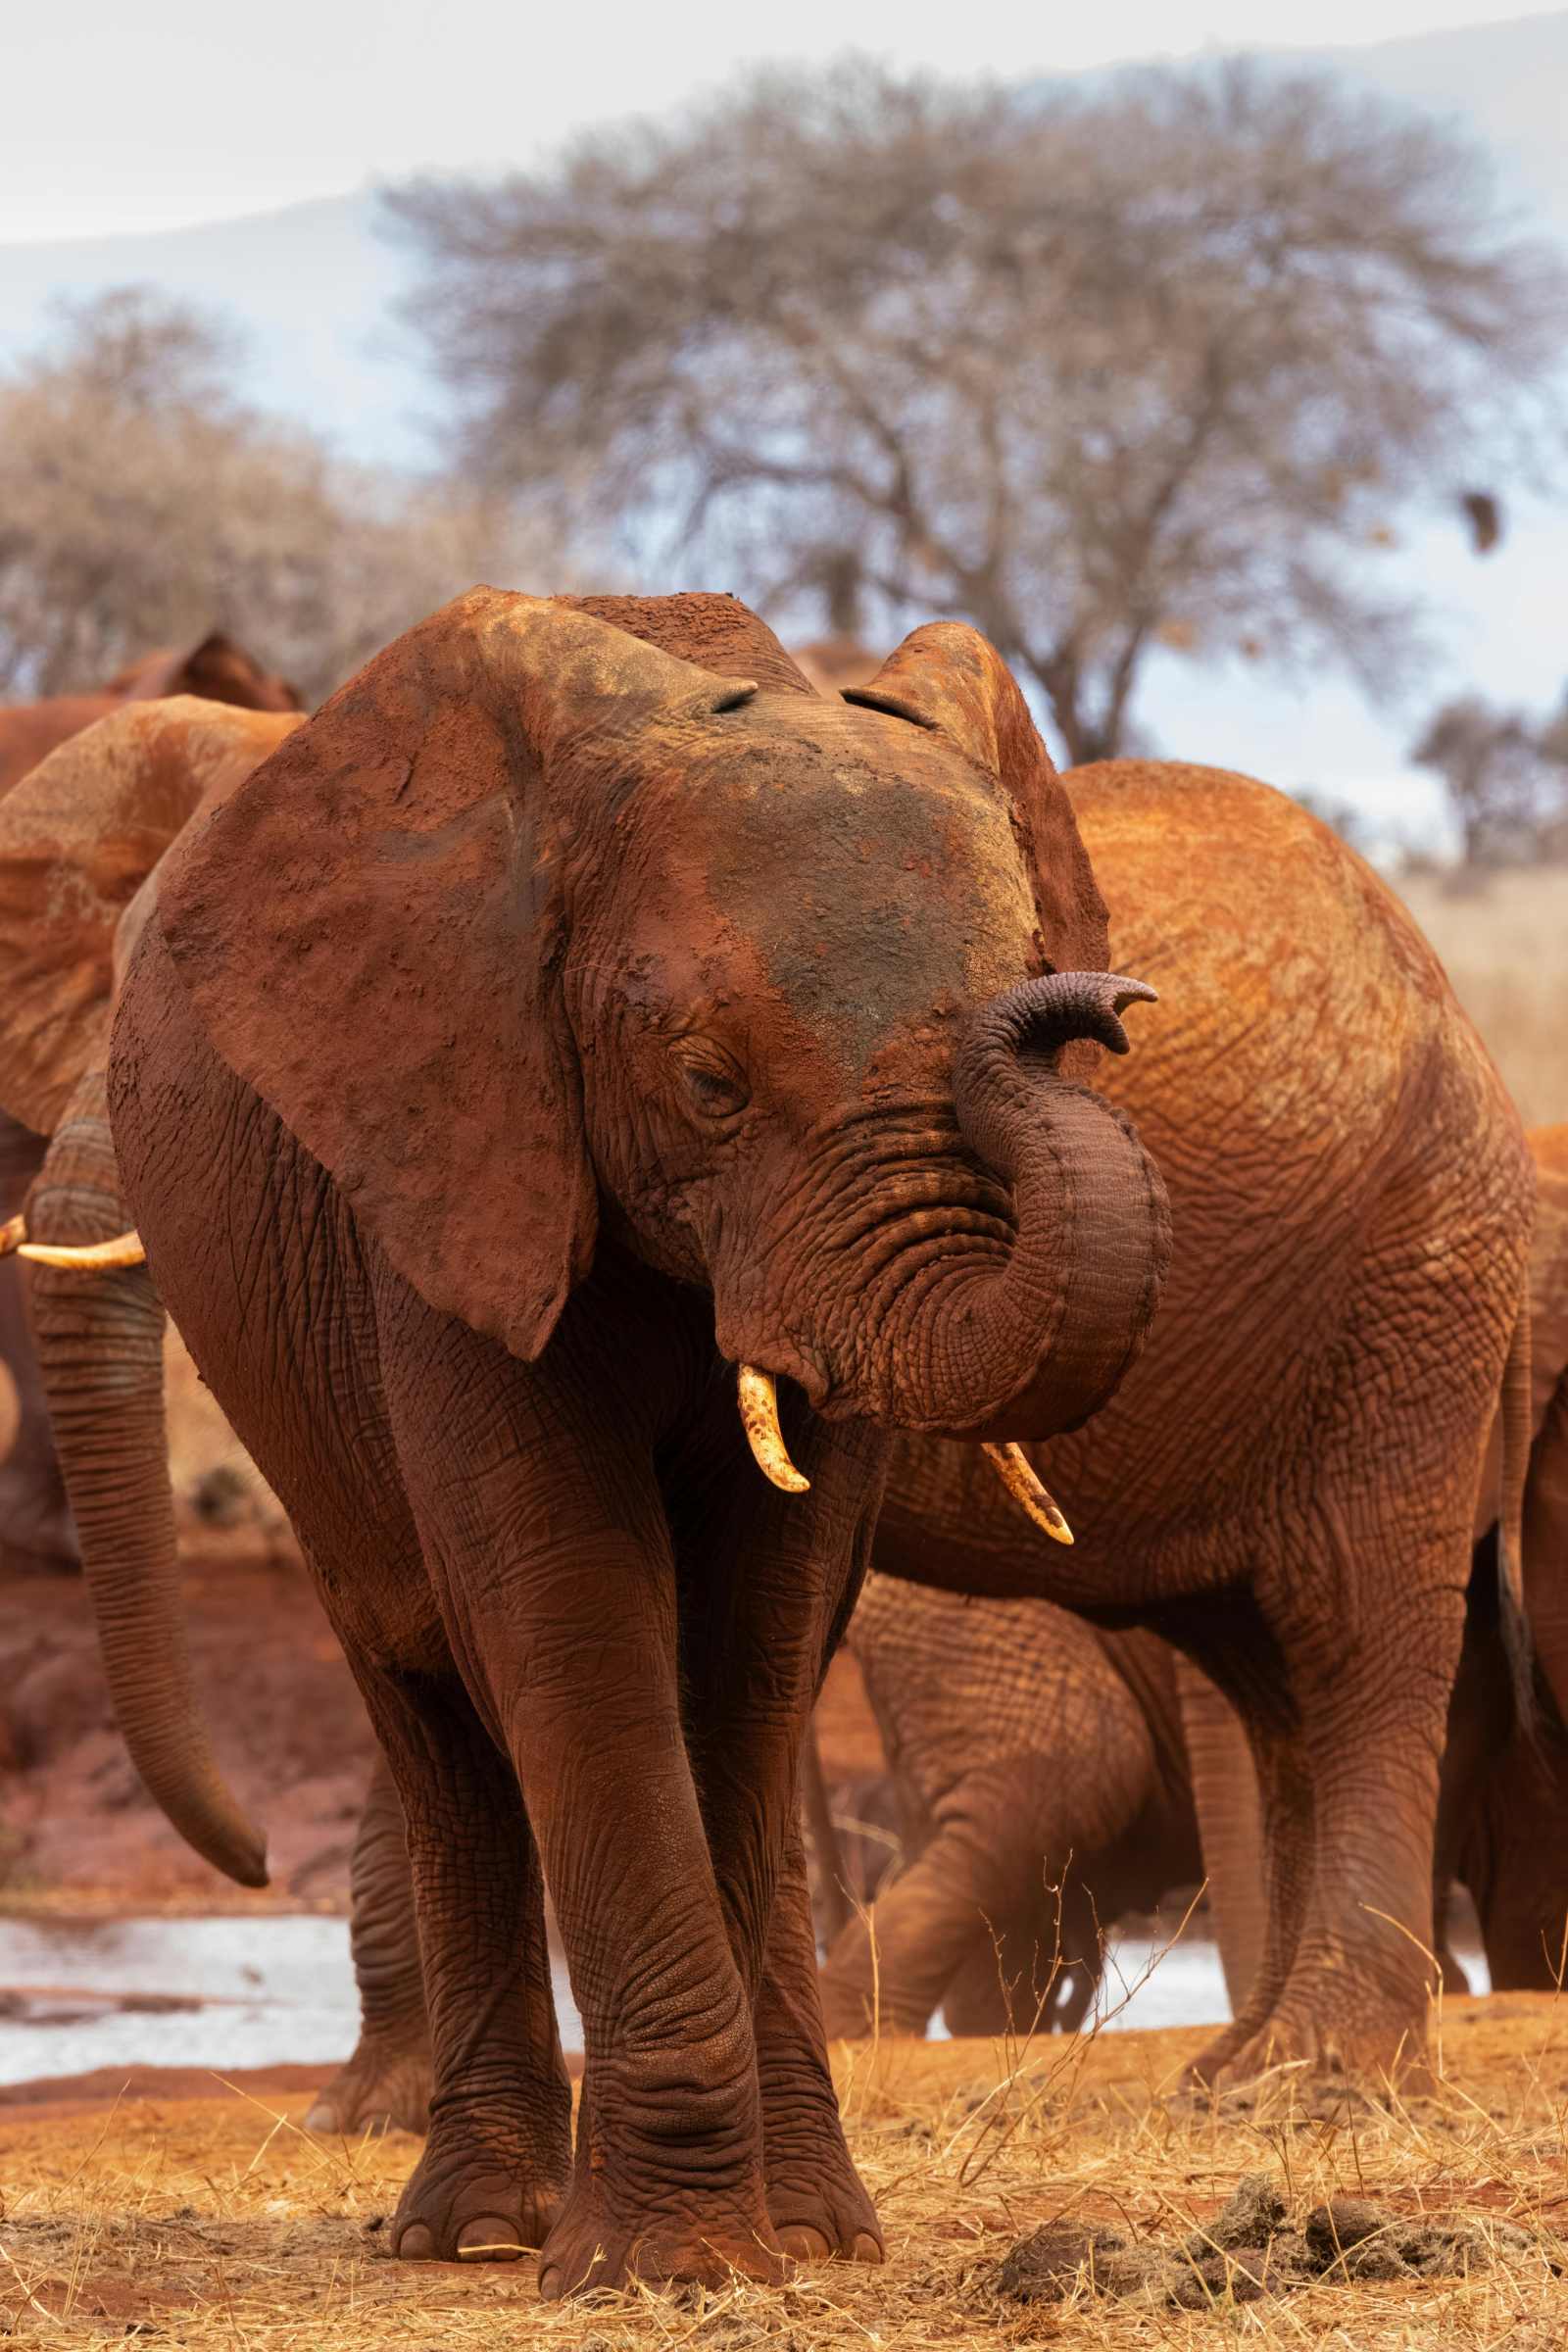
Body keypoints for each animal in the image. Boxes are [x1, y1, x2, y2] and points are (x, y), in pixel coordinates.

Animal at [52, 589, 1170, 2293]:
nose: (1078, 1007)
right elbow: (570, 1604)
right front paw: (670, 2267)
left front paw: (785, 2240)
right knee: (429, 1700)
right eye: (706, 1082)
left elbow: (759, 1632)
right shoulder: (454, 1145)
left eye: (1033, 960)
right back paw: (469, 2230)